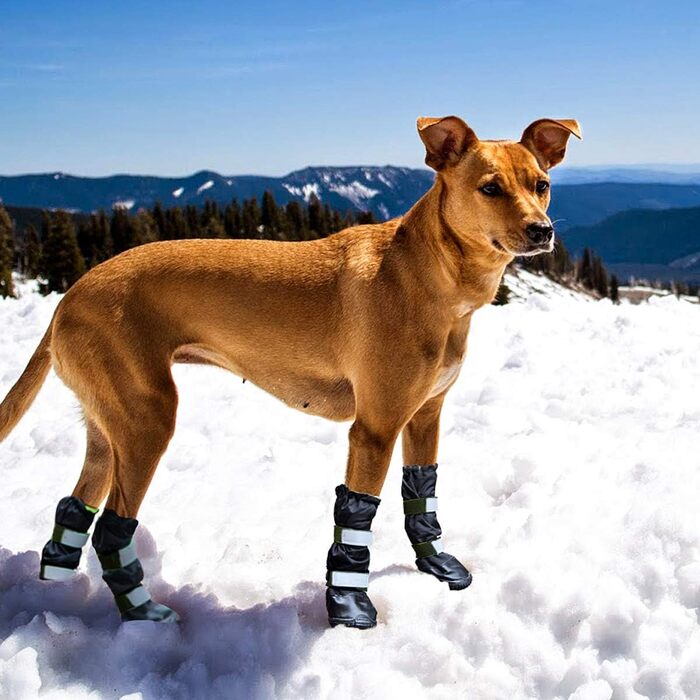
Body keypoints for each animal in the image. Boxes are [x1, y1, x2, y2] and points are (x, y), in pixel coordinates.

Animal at [0, 116, 580, 628]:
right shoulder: (375, 429)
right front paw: (349, 609)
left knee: (73, 512)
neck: (434, 278)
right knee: (110, 531)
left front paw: (436, 566)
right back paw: (145, 615)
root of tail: (67, 300)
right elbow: (357, 519)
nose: (542, 230)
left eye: (542, 185)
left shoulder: (425, 416)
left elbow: (422, 497)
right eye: (490, 188)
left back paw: (58, 597)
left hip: (108, 430)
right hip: (147, 421)